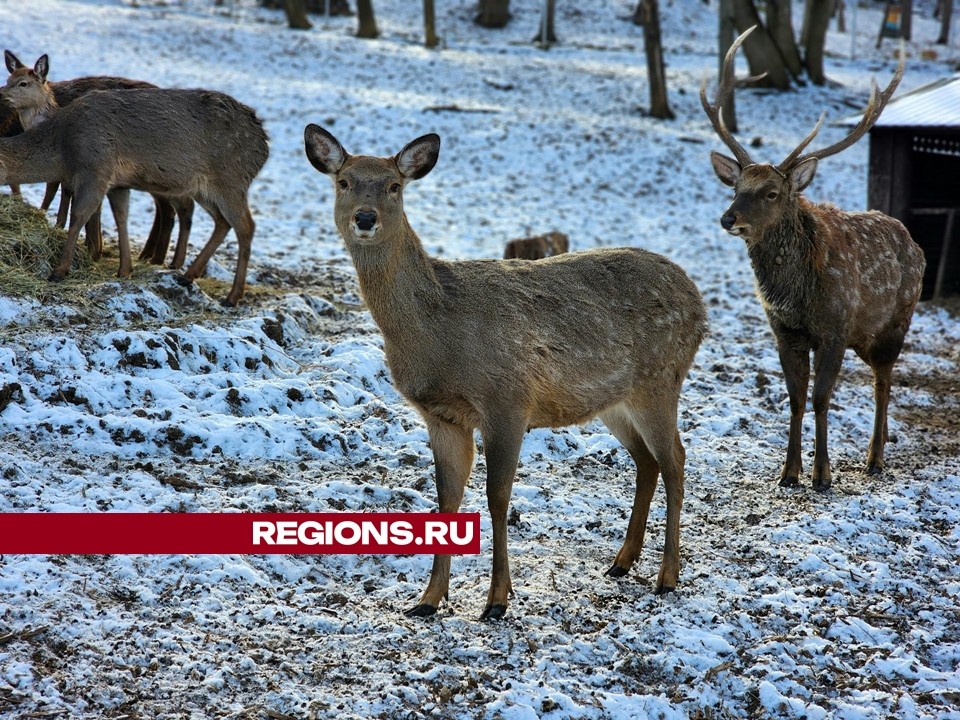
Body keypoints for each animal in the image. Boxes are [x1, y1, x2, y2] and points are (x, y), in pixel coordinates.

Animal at [0, 51, 197, 268]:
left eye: (23, 83)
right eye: (8, 79)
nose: (1, 94)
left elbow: (63, 197)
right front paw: (90, 245)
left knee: (178, 206)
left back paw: (165, 260)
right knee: (170, 207)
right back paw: (152, 257)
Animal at [0, 84, 268, 304]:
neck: (65, 152)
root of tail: (264, 145)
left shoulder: (96, 168)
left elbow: (79, 216)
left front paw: (59, 271)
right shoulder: (119, 183)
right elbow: (121, 217)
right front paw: (125, 269)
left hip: (230, 180)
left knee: (246, 226)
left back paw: (232, 296)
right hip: (204, 189)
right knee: (223, 221)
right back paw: (187, 276)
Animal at [304, 125, 708, 620]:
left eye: (394, 186)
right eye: (343, 181)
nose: (365, 217)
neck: (438, 333)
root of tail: (699, 302)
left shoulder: (507, 400)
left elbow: (497, 498)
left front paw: (497, 600)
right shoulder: (442, 414)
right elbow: (446, 499)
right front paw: (427, 599)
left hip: (661, 378)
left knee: (676, 460)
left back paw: (667, 577)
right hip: (615, 401)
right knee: (647, 461)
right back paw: (620, 562)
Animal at [700, 26, 928, 490]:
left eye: (771, 192)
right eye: (736, 188)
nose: (728, 217)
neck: (797, 295)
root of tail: (913, 242)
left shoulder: (835, 328)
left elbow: (821, 398)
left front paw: (822, 474)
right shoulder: (784, 331)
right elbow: (795, 398)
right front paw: (788, 472)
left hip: (896, 323)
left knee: (883, 381)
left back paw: (875, 457)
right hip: (867, 336)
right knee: (880, 378)